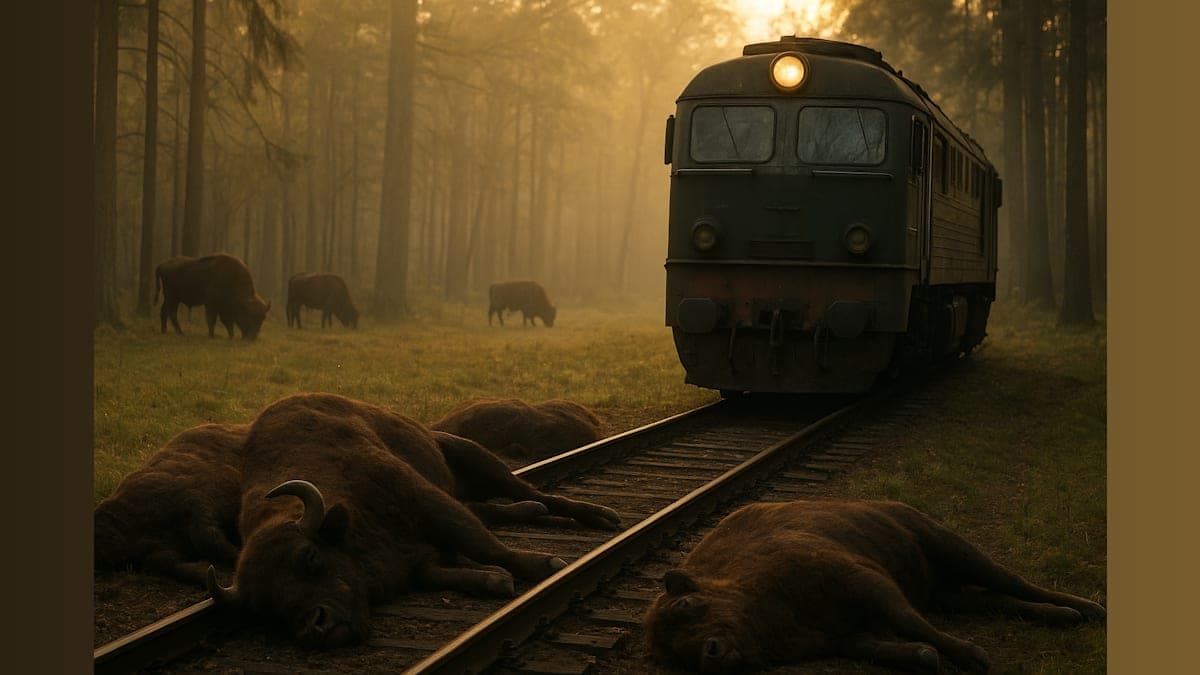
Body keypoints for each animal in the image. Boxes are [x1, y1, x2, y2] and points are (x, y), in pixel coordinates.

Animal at [643, 500, 1106, 673]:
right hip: (947, 592)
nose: (709, 653)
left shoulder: (867, 582)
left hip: (950, 546)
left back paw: (1087, 609)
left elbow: (913, 624)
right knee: (996, 599)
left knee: (1011, 580)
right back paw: (1064, 616)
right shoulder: (844, 637)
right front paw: (927, 657)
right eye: (677, 654)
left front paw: (974, 657)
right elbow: (894, 646)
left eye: (687, 604)